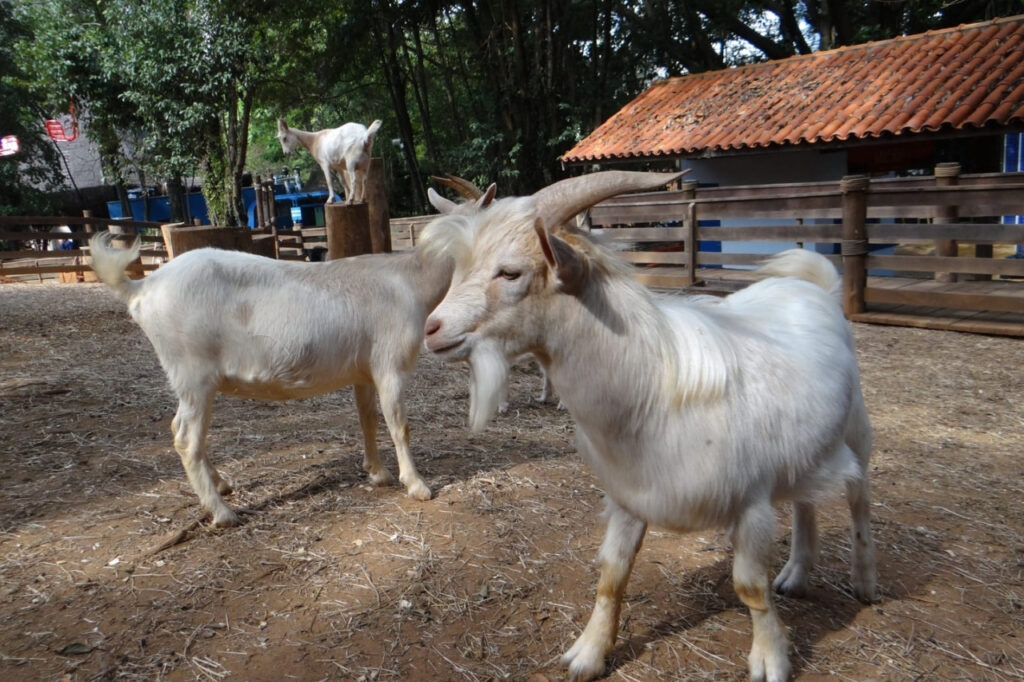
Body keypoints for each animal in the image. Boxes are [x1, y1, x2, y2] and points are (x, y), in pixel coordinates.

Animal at [86, 186, 493, 524]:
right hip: (191, 372)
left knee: (182, 430)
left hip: (195, 380)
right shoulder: (390, 365)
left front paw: (378, 473)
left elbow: (368, 418)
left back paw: (222, 485)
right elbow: (399, 424)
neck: (412, 280)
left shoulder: (363, 370)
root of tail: (143, 286)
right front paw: (418, 485)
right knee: (186, 438)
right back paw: (223, 513)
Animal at [419, 169, 876, 679]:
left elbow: (750, 586)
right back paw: (796, 574)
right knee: (804, 501)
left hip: (857, 430)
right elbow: (612, 574)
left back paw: (864, 582)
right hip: (806, 452)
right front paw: (588, 652)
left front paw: (771, 659)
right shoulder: (627, 498)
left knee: (858, 499)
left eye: (511, 272)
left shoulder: (750, 503)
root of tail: (815, 288)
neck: (653, 386)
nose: (432, 329)